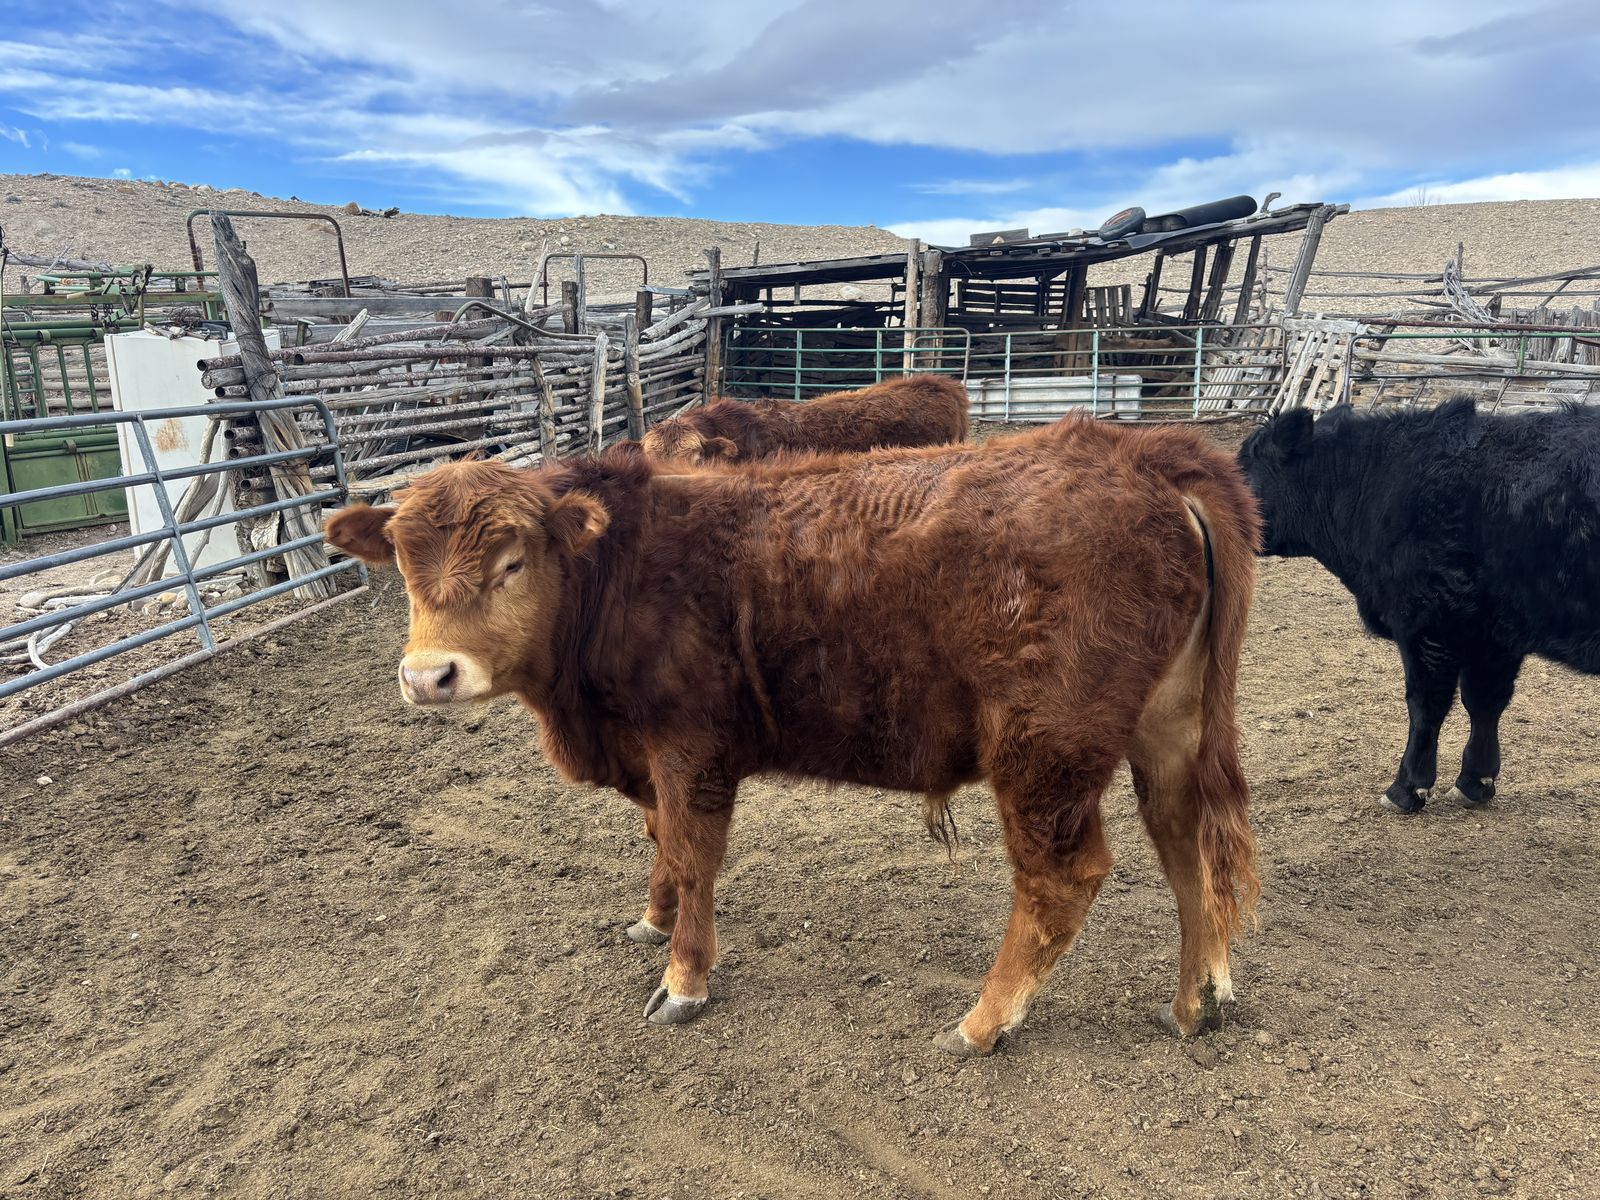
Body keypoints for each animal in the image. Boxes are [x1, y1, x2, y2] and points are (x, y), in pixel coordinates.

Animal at [324, 418, 1260, 1055]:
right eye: (402, 563)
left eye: (513, 561)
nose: (429, 676)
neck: (622, 571)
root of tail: (1140, 453)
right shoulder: (647, 758)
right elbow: (660, 842)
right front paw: (654, 919)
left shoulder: (690, 749)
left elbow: (693, 855)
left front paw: (684, 978)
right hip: (1169, 727)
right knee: (1189, 844)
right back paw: (1199, 1000)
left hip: (1041, 752)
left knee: (1061, 879)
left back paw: (984, 1020)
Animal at [1238, 397, 1600, 814]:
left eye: (1241, 473)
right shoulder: (1493, 632)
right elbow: (1485, 700)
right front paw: (1475, 781)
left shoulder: (1429, 620)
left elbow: (1426, 704)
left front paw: (1407, 787)